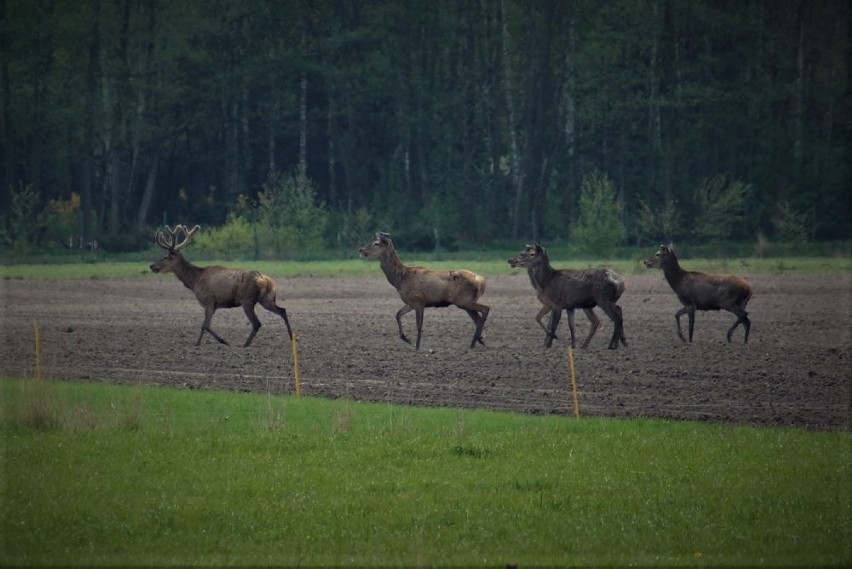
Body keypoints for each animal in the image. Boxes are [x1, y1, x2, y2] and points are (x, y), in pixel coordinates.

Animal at [153, 224, 296, 348]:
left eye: (165, 257)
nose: (152, 266)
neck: (195, 282)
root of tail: (265, 280)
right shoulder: (213, 304)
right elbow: (205, 325)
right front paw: (200, 343)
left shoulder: (209, 301)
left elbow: (205, 325)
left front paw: (220, 342)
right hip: (266, 298)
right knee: (282, 310)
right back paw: (291, 336)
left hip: (247, 300)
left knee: (257, 323)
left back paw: (244, 345)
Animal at [360, 232, 492, 348]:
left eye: (376, 243)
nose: (361, 250)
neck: (400, 279)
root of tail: (482, 281)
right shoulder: (411, 302)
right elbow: (398, 314)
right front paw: (406, 338)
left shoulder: (419, 300)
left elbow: (419, 325)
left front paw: (417, 346)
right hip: (466, 302)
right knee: (477, 319)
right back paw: (476, 342)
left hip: (463, 300)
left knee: (485, 309)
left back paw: (477, 341)